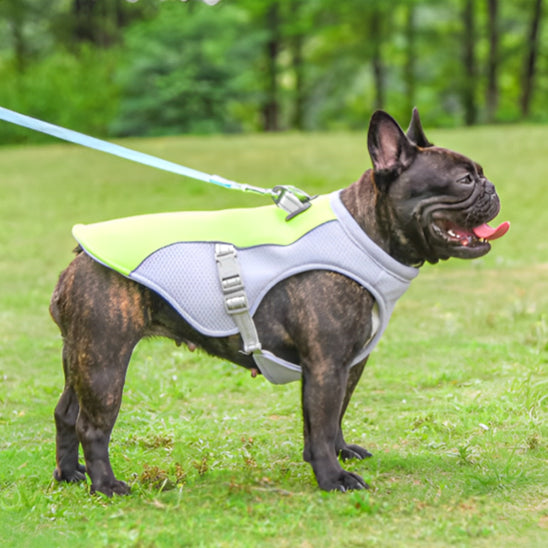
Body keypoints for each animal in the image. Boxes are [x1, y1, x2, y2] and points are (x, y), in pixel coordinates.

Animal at [49, 109, 508, 494]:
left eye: (481, 175)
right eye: (464, 180)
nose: (491, 186)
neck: (365, 232)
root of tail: (79, 255)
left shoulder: (346, 365)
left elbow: (331, 418)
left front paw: (337, 455)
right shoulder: (326, 363)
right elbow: (322, 421)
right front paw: (332, 478)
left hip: (81, 357)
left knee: (65, 413)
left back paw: (70, 474)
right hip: (106, 360)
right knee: (92, 426)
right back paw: (106, 485)